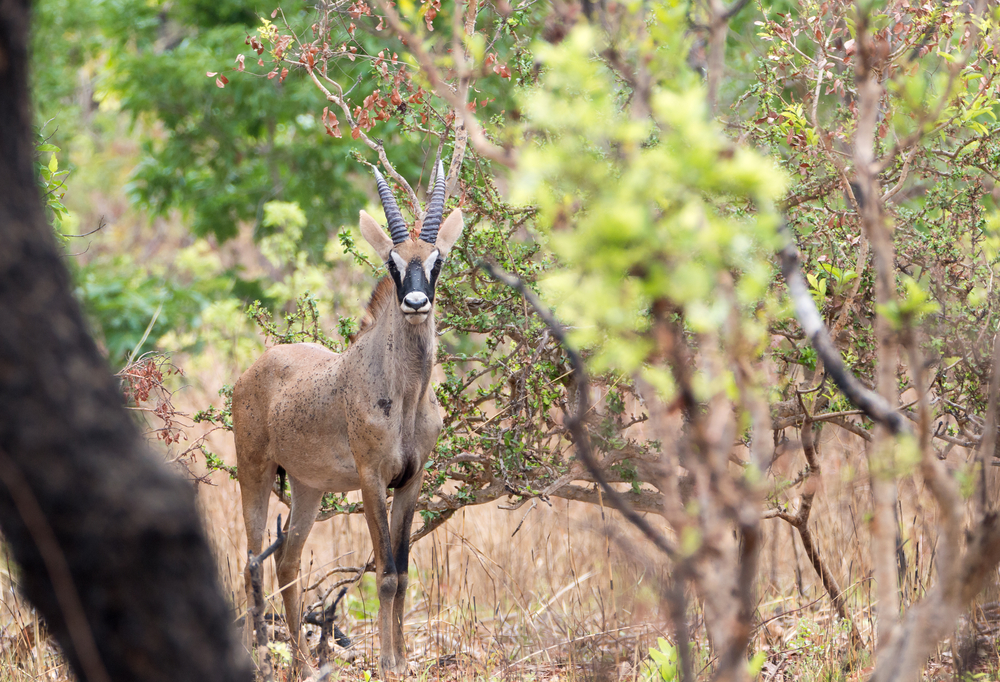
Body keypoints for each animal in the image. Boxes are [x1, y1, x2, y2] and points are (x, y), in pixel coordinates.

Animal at [234, 161, 464, 676]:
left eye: (436, 260)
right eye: (392, 263)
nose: (415, 304)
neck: (404, 395)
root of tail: (254, 369)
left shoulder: (412, 480)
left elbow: (403, 571)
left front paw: (402, 660)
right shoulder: (371, 478)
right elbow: (385, 574)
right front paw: (387, 662)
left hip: (307, 487)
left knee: (288, 561)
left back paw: (302, 663)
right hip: (254, 472)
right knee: (254, 559)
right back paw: (266, 659)